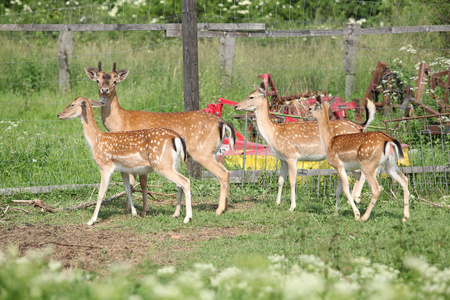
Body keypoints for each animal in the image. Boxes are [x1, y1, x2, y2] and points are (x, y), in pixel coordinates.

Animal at [57, 96, 192, 225]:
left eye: (72, 104)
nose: (59, 115)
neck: (96, 140)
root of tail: (176, 137)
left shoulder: (105, 166)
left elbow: (101, 193)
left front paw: (91, 220)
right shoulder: (123, 169)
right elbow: (127, 189)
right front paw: (133, 212)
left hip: (161, 164)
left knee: (185, 181)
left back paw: (187, 218)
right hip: (173, 163)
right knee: (179, 184)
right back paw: (176, 214)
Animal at [85, 61, 237, 216]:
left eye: (115, 81)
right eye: (97, 80)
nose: (104, 90)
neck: (122, 121)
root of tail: (222, 123)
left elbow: (138, 182)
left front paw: (138, 210)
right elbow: (136, 182)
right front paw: (134, 209)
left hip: (202, 151)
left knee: (222, 173)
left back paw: (219, 209)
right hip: (214, 151)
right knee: (226, 172)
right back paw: (225, 206)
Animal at [234, 83, 374, 212]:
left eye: (251, 97)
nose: (236, 106)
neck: (274, 133)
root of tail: (360, 127)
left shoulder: (291, 155)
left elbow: (292, 181)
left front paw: (292, 206)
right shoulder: (282, 159)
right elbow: (280, 180)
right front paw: (277, 203)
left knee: (362, 172)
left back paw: (356, 198)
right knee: (358, 174)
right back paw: (351, 200)